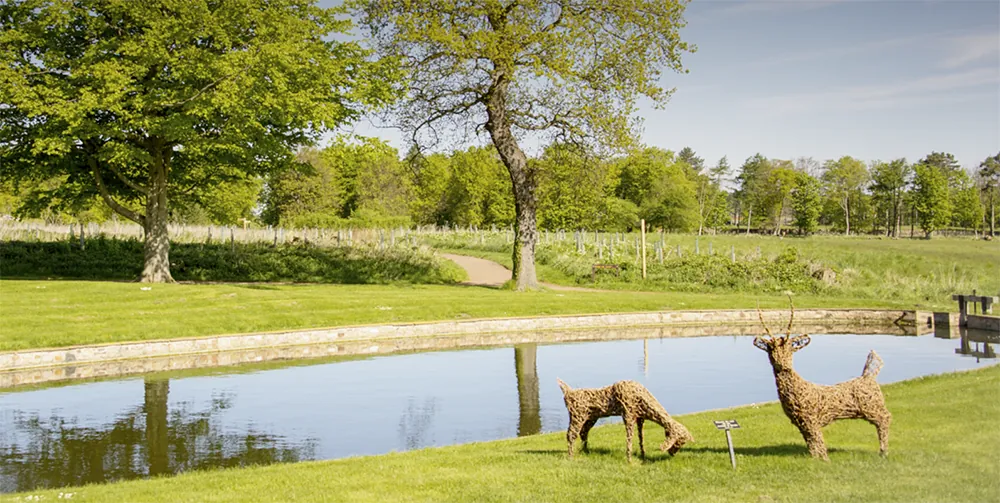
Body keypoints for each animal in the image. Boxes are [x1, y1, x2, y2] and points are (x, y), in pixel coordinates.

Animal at [753, 301, 891, 461]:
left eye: (790, 348)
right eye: (770, 349)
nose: (782, 364)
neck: (798, 386)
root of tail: (869, 375)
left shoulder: (811, 419)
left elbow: (818, 439)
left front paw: (825, 459)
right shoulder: (802, 423)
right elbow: (811, 443)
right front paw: (815, 458)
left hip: (872, 407)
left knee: (885, 418)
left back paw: (883, 452)